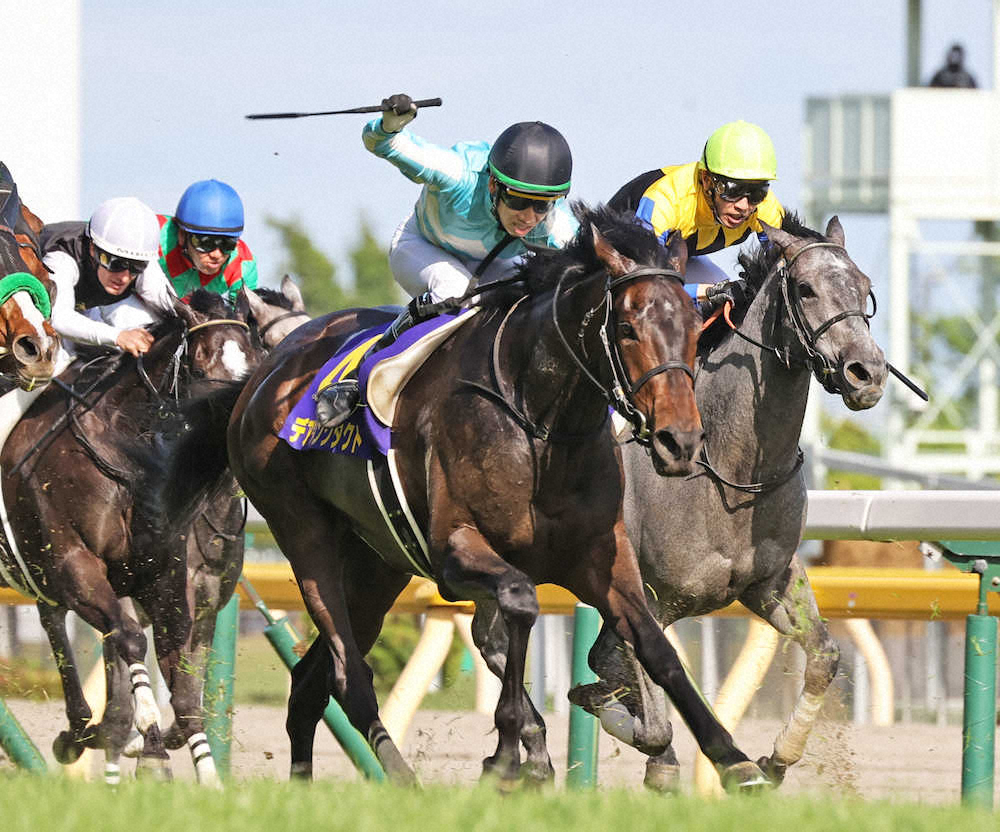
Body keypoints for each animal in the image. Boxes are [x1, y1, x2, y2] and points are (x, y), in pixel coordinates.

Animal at [0, 289, 260, 784]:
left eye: (254, 362)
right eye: (200, 365)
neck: (124, 460)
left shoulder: (169, 583)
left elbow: (185, 686)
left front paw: (205, 774)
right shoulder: (75, 566)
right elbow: (131, 643)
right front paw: (147, 745)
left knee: (53, 621)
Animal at [229, 203, 772, 790]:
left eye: (695, 328)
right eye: (627, 328)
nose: (681, 441)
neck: (540, 423)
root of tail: (268, 370)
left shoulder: (602, 557)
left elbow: (657, 648)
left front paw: (735, 760)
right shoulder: (456, 551)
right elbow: (520, 602)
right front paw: (511, 753)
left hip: (377, 564)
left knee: (312, 681)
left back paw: (305, 783)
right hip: (303, 533)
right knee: (349, 672)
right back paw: (404, 780)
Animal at [567, 214, 888, 790]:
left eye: (865, 287)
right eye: (805, 289)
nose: (866, 373)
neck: (729, 470)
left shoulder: (770, 583)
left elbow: (825, 655)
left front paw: (777, 759)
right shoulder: (648, 597)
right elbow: (650, 701)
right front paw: (654, 748)